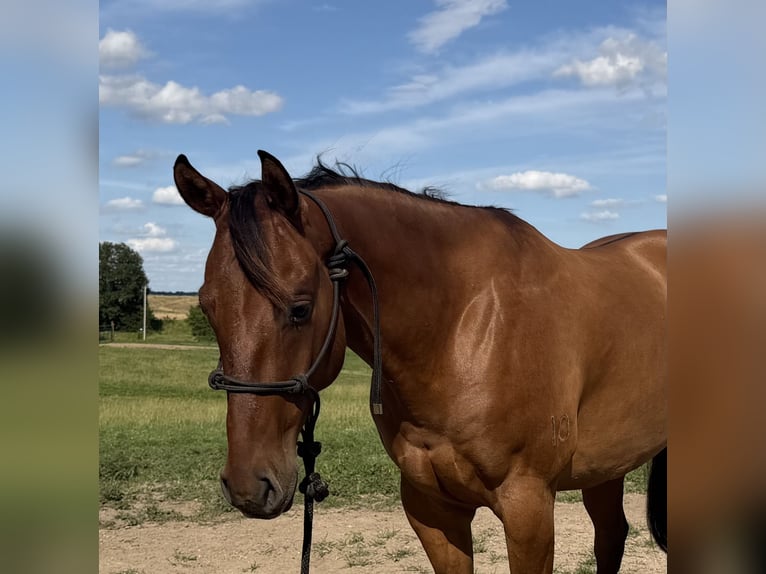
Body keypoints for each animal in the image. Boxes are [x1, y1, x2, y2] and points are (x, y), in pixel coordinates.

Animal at [173, 150, 667, 573]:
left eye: (300, 308)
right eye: (207, 306)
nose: (248, 486)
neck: (462, 328)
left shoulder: (528, 507)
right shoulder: (432, 509)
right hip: (605, 468)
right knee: (611, 537)